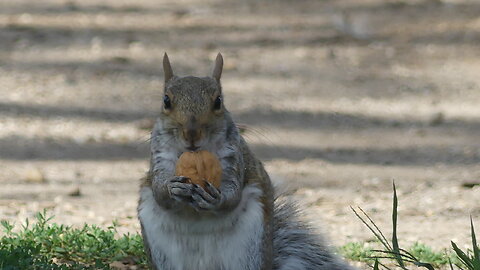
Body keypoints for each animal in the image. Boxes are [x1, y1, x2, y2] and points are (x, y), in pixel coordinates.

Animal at [137, 52, 354, 270]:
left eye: (218, 102)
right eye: (166, 101)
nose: (191, 134)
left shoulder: (233, 157)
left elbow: (233, 195)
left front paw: (216, 198)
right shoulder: (160, 157)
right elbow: (159, 192)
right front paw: (172, 188)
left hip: (250, 248)